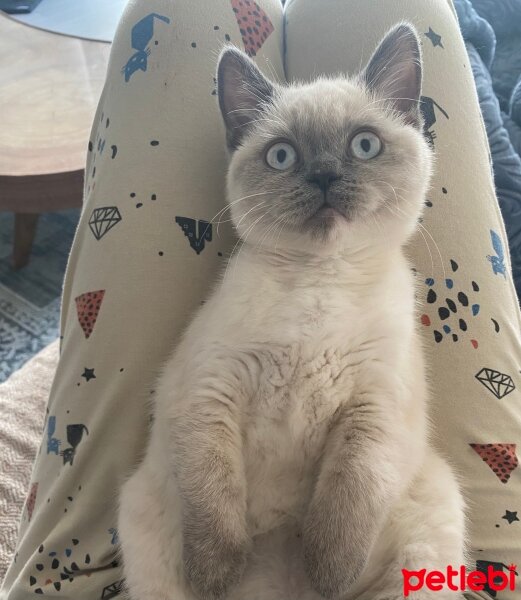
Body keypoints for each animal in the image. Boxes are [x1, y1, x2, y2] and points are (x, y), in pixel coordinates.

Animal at [119, 22, 468, 600]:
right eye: (282, 156)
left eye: (364, 145)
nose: (324, 175)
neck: (319, 284)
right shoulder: (208, 396)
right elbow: (214, 503)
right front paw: (215, 577)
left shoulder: (373, 413)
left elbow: (345, 508)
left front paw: (328, 578)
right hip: (143, 525)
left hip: (433, 521)